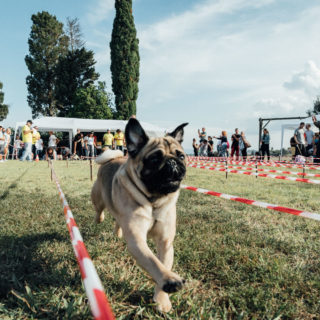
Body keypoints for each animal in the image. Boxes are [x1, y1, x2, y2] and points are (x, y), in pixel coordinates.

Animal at [91, 118, 188, 312]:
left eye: (181, 156)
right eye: (154, 159)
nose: (172, 162)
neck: (154, 200)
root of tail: (113, 159)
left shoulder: (165, 243)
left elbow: (161, 263)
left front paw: (162, 300)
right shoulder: (137, 241)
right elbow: (153, 263)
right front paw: (170, 280)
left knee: (118, 220)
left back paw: (118, 233)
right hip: (97, 198)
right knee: (99, 211)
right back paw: (100, 219)